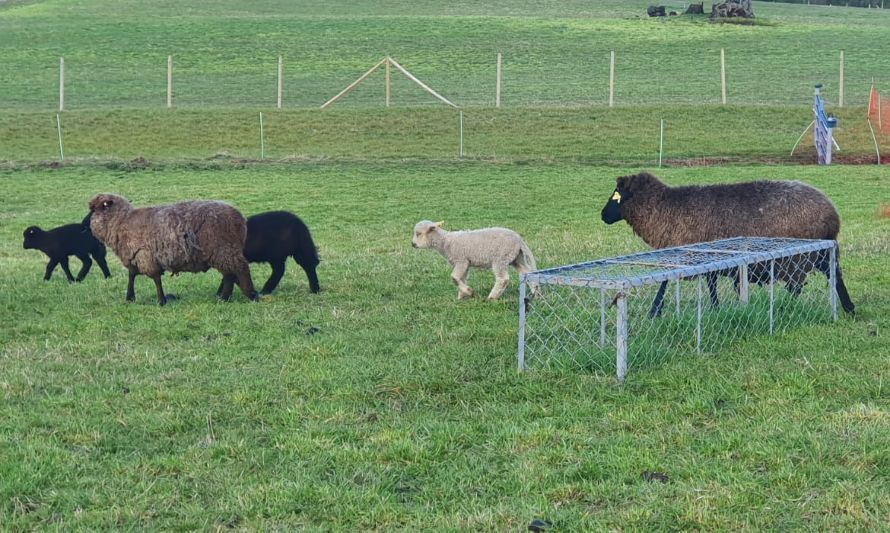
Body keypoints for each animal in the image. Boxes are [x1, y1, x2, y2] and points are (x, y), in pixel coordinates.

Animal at [82, 193, 260, 306]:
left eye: (94, 209)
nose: (83, 226)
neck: (121, 221)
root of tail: (241, 219)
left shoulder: (146, 256)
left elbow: (155, 279)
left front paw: (161, 301)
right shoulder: (134, 256)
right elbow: (131, 276)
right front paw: (129, 297)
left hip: (223, 249)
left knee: (240, 269)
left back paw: (251, 295)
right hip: (221, 252)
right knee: (229, 274)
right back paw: (224, 298)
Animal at [596, 172, 852, 316]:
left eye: (617, 195)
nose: (603, 215)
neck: (664, 208)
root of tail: (832, 214)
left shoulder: (686, 250)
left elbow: (666, 282)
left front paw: (654, 311)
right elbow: (710, 284)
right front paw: (715, 307)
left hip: (797, 258)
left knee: (799, 286)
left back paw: (785, 307)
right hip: (821, 254)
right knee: (835, 276)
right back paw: (849, 308)